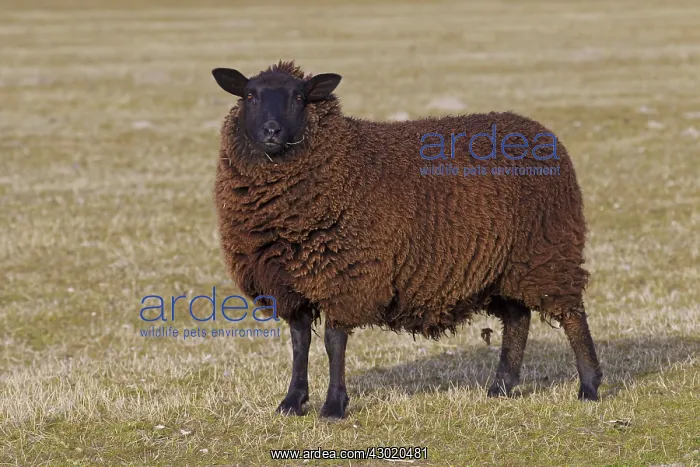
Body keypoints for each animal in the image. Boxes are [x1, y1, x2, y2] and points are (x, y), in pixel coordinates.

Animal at [212, 60, 603, 419]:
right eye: (250, 95)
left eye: (298, 96)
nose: (271, 130)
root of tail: (542, 132)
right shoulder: (288, 283)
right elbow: (299, 342)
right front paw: (292, 402)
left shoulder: (345, 274)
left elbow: (334, 342)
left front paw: (334, 406)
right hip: (504, 265)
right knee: (518, 319)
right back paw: (501, 387)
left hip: (548, 249)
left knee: (572, 314)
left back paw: (589, 386)